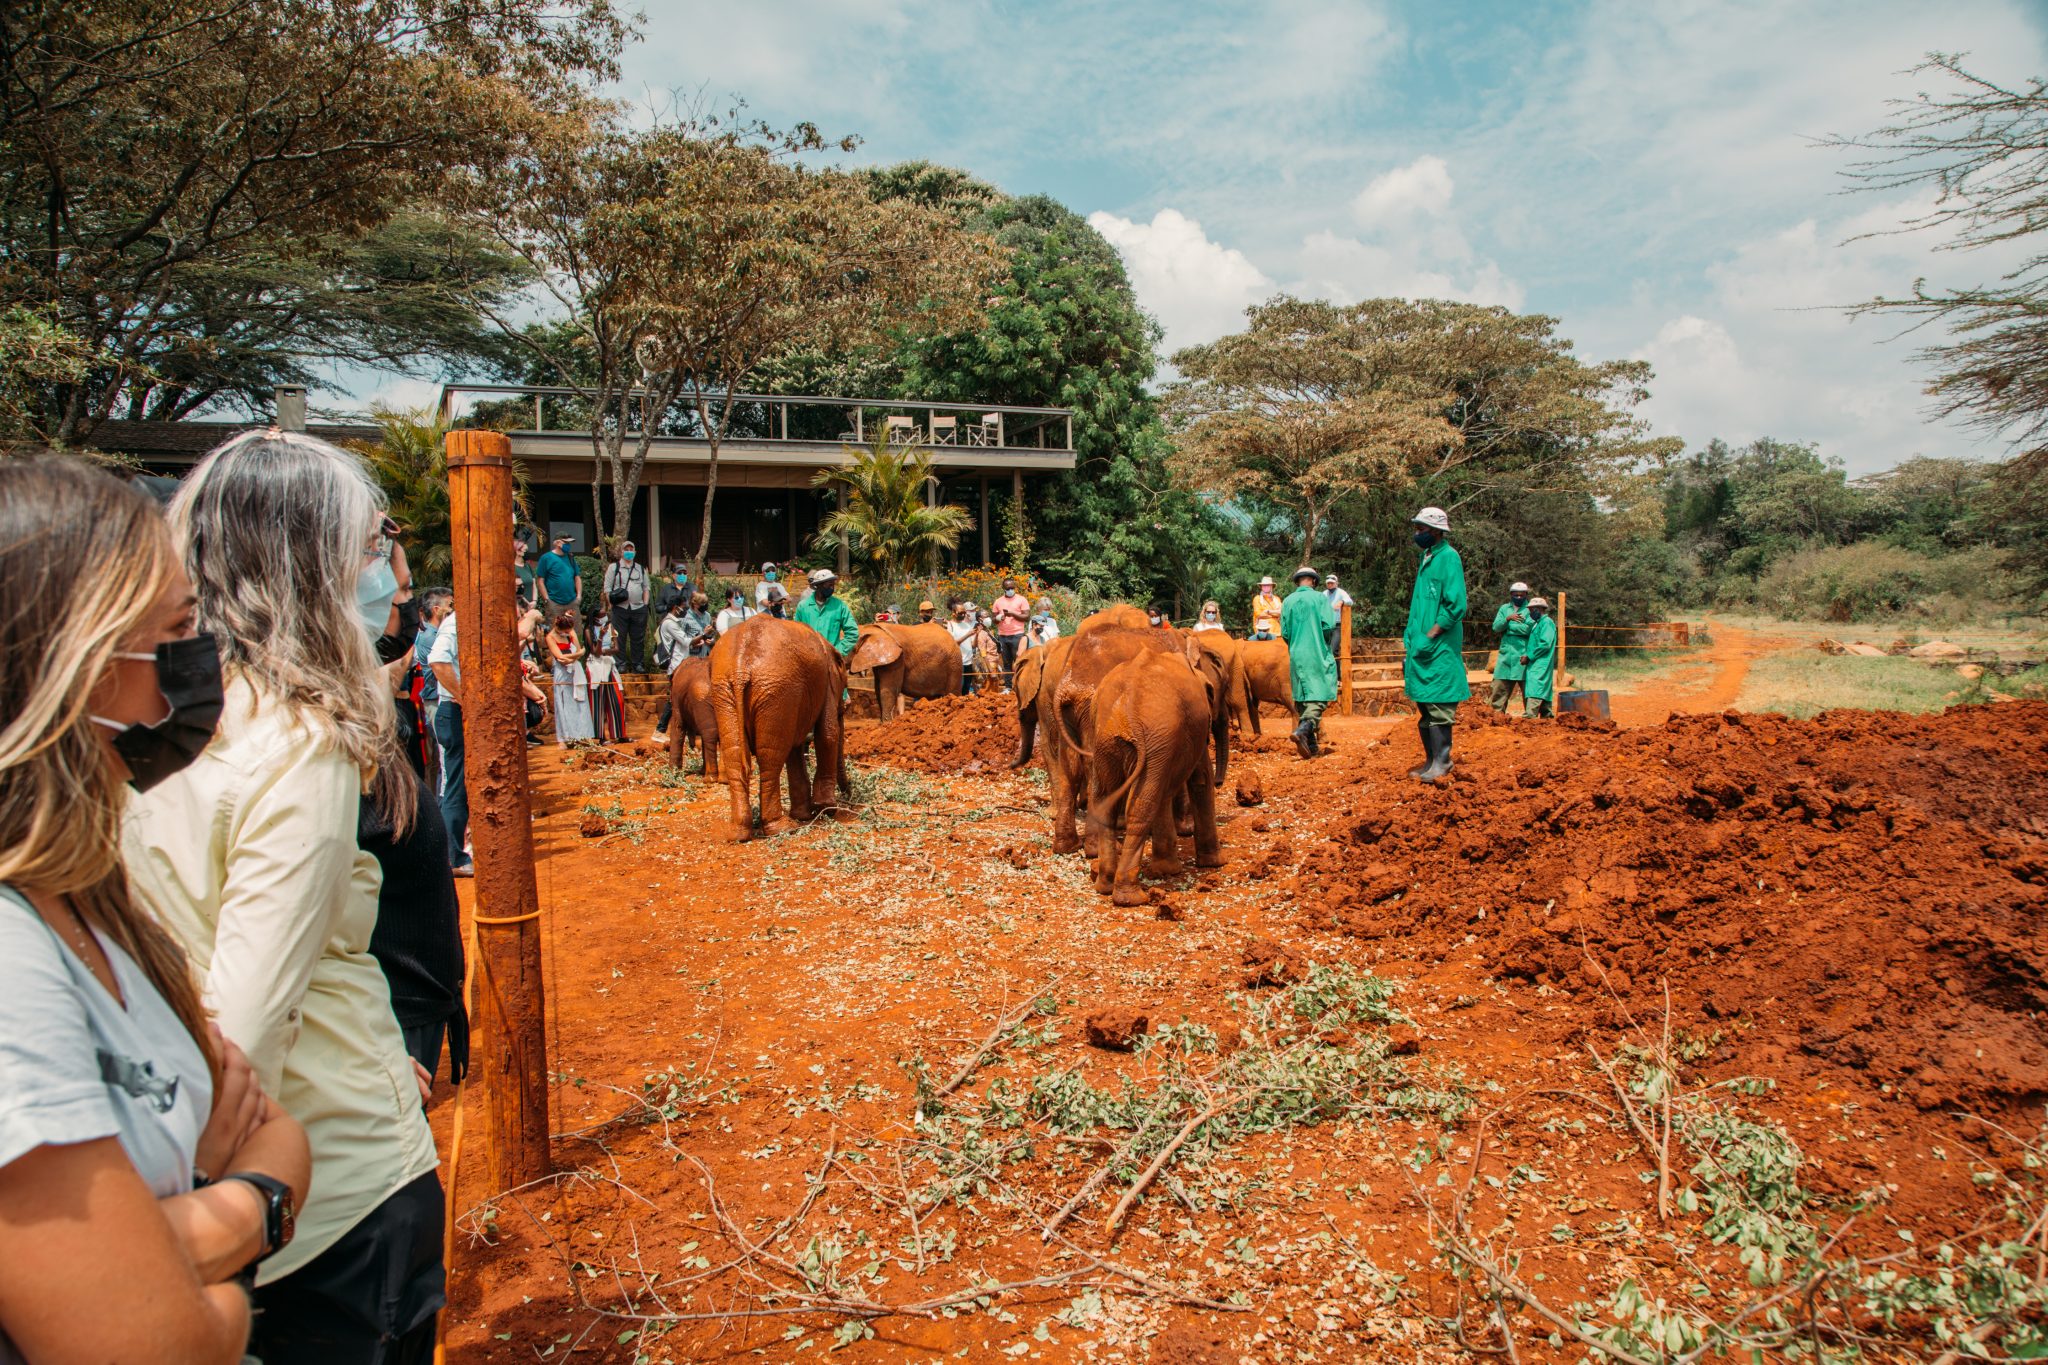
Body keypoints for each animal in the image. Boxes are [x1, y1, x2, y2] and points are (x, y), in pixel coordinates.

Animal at [708, 618, 843, 834]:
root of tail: (739, 668)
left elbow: (797, 745)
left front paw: (806, 815)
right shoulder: (827, 683)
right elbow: (828, 734)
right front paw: (826, 809)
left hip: (726, 690)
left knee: (735, 755)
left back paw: (738, 832)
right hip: (776, 689)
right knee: (770, 758)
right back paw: (782, 828)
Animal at [1081, 642, 1220, 908]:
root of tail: (1126, 710)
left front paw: (1167, 870)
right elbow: (1201, 779)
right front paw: (1214, 864)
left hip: (1107, 741)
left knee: (1108, 802)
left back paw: (1105, 886)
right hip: (1151, 737)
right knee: (1142, 806)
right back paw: (1130, 898)